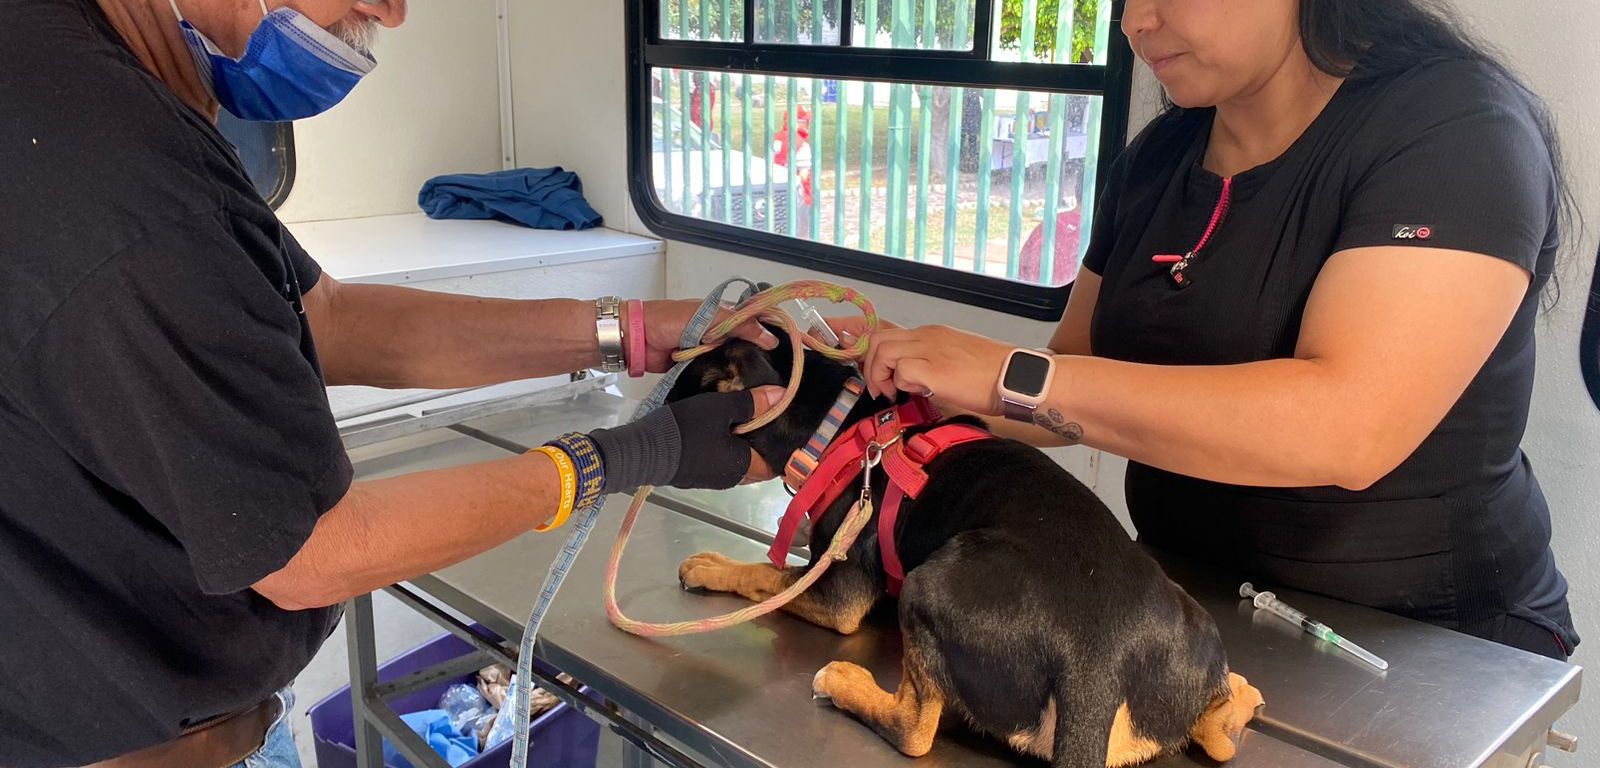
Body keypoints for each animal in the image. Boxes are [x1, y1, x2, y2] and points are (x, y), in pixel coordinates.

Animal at [665, 331, 1263, 768]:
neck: (840, 423)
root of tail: (1098, 668)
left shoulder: (838, 592)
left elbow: (766, 576)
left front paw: (712, 564)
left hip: (927, 588)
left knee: (914, 729)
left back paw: (846, 683)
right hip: (1196, 633)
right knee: (1217, 738)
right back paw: (1239, 697)